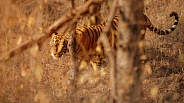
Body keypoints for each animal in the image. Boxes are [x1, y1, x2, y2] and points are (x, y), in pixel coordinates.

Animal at [50, 11, 178, 61]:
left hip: (139, 37)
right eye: (53, 44)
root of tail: (143, 14)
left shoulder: (89, 58)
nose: (54, 54)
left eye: (62, 44)